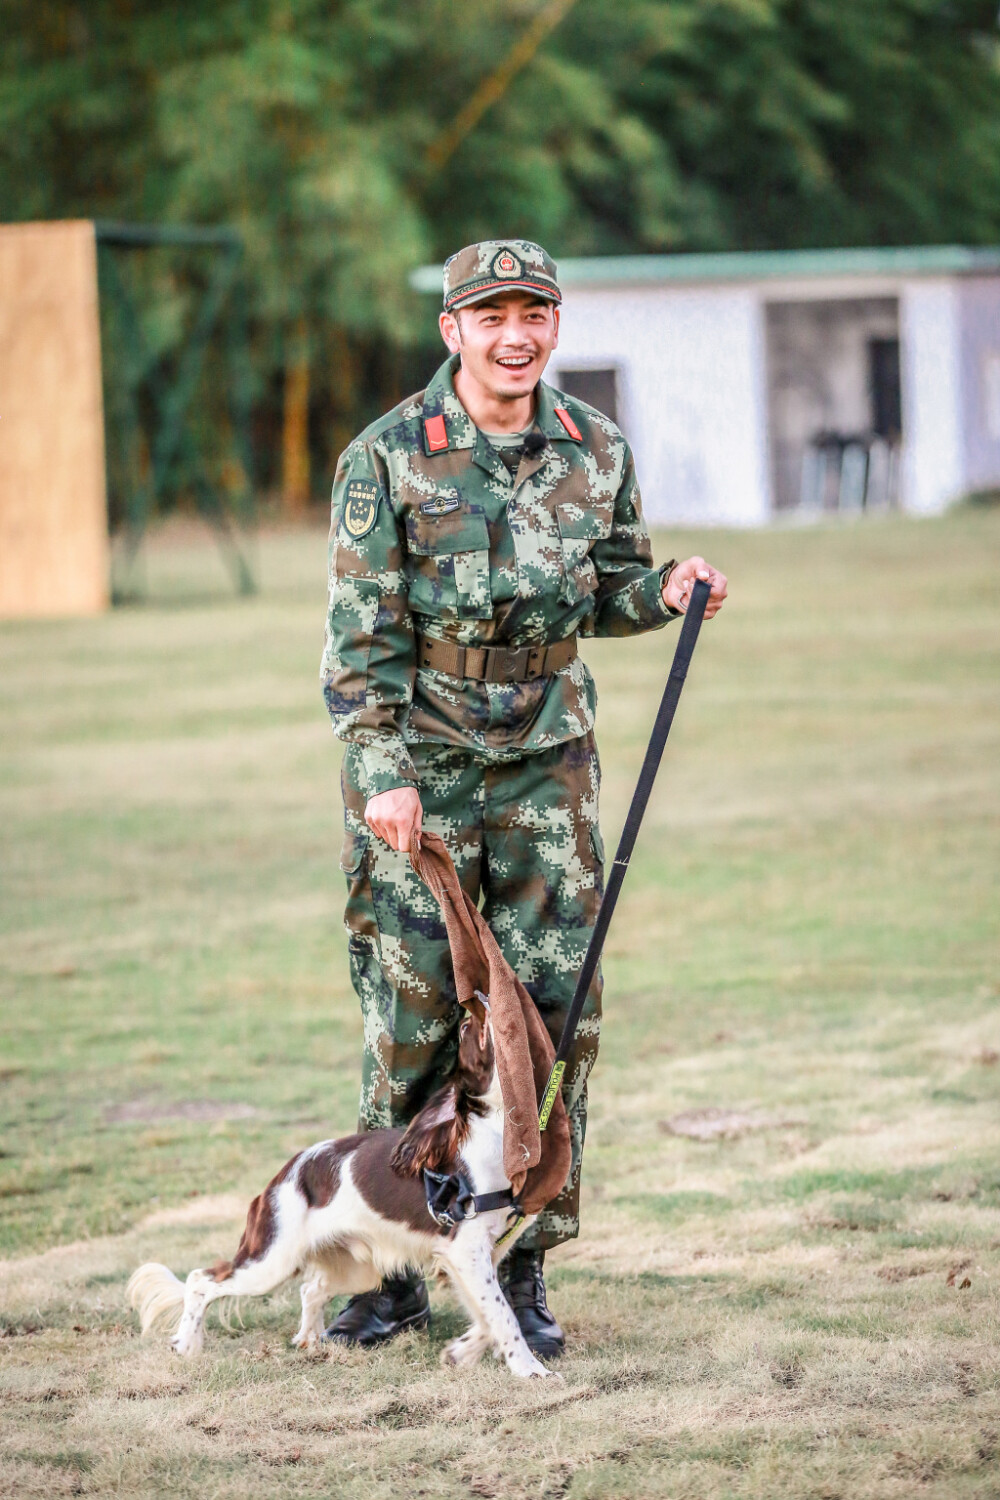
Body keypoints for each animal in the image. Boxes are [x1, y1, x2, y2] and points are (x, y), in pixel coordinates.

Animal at [125, 996, 554, 1380]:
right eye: (470, 1032)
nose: (476, 999)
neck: (494, 1132)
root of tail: (285, 1173)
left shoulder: (477, 1255)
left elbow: (490, 1316)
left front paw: (460, 1353)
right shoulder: (466, 1250)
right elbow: (502, 1315)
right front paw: (530, 1370)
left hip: (356, 1266)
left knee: (310, 1289)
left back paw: (309, 1339)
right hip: (272, 1259)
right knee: (202, 1279)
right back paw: (186, 1344)